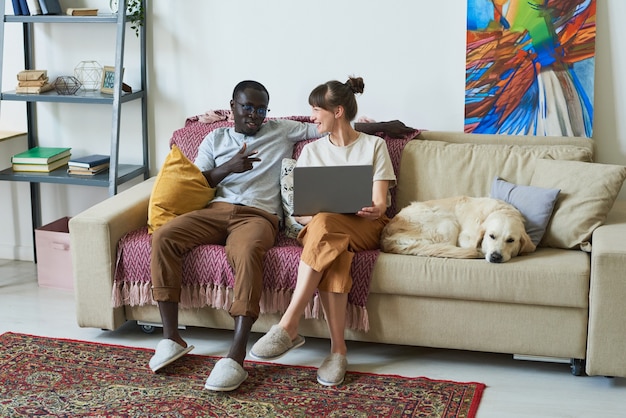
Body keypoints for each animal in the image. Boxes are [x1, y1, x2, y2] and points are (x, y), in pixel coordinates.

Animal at [378, 197, 532, 262]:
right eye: (491, 236)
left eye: (511, 240)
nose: (495, 257)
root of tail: (386, 239)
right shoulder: (464, 237)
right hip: (448, 222)